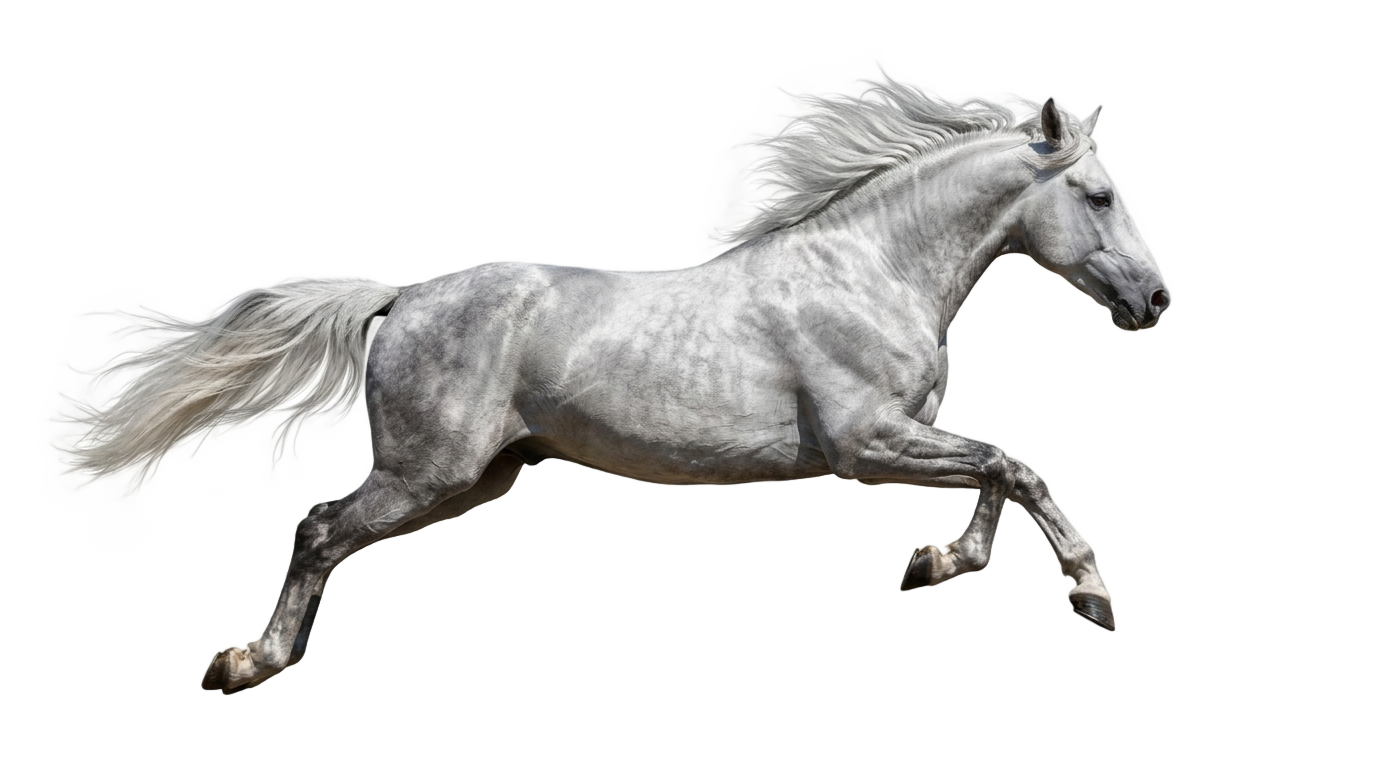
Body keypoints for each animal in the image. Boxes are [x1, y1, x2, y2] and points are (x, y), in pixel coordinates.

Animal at [66, 77, 1169, 692]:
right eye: (1098, 194)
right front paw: (1094, 593)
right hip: (424, 473)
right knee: (314, 533)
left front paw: (942, 563)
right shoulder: (863, 442)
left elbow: (995, 469)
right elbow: (1013, 464)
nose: (1155, 298)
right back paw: (249, 665)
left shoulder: (906, 430)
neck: (864, 269)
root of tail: (398, 297)